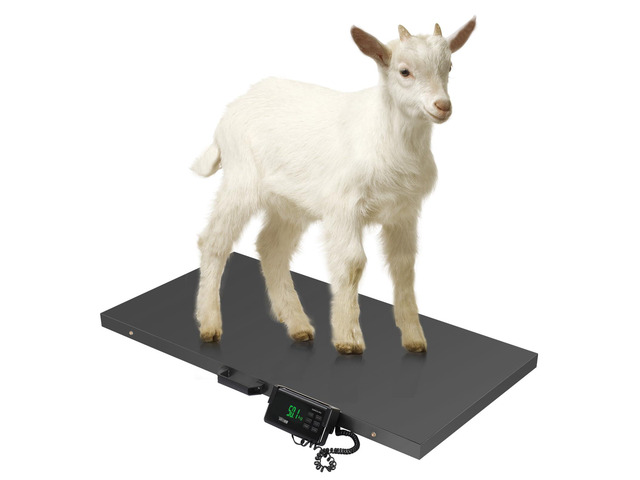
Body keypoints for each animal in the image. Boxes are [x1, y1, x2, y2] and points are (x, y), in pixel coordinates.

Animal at [192, 19, 476, 354]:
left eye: (449, 66)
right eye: (404, 71)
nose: (442, 106)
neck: (385, 135)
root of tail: (229, 113)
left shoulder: (404, 212)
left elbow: (404, 267)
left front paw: (414, 339)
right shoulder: (344, 207)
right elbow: (352, 263)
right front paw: (348, 339)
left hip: (290, 202)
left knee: (271, 246)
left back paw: (298, 326)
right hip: (241, 180)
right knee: (214, 241)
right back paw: (210, 324)